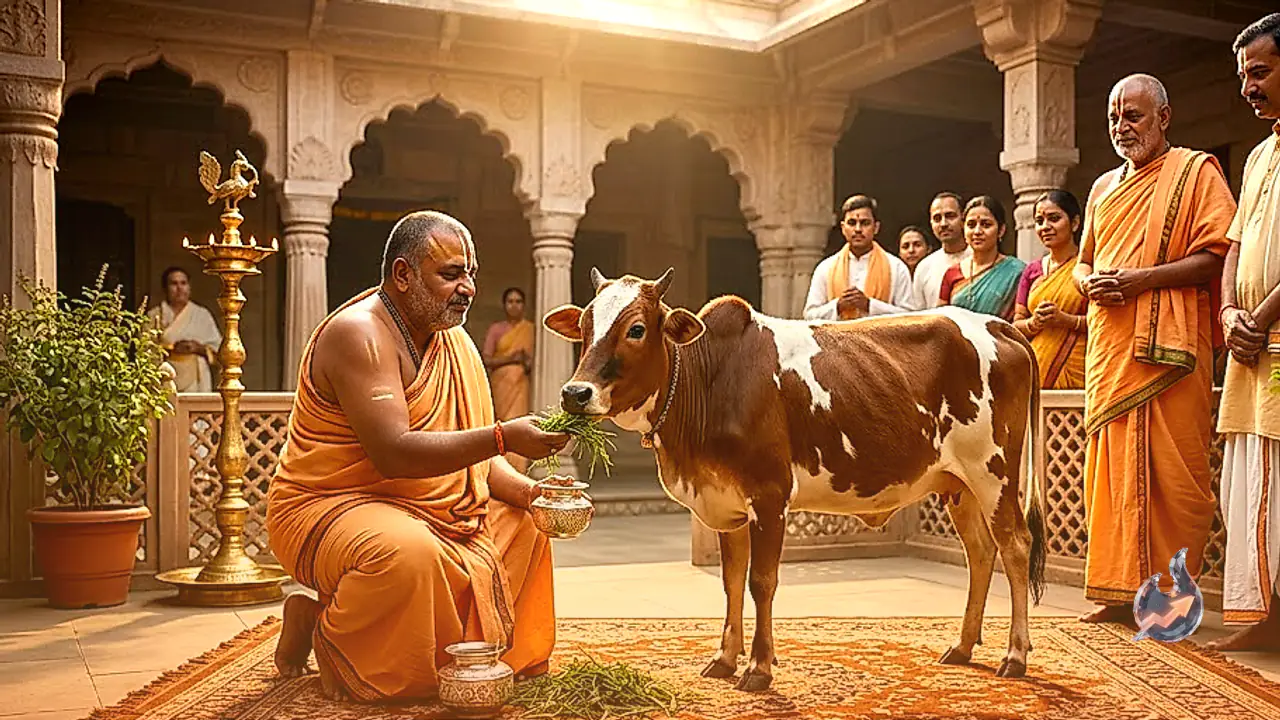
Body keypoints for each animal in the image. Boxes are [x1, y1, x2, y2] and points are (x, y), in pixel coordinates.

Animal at [542, 268, 1047, 692]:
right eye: (585, 326)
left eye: (636, 329)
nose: (574, 393)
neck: (711, 379)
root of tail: (1000, 326)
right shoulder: (726, 503)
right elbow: (731, 580)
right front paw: (724, 659)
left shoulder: (770, 497)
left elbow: (761, 581)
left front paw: (759, 668)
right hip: (958, 484)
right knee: (980, 553)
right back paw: (962, 647)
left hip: (995, 473)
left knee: (1015, 547)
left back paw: (1016, 655)